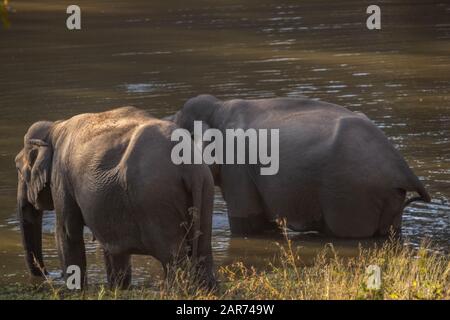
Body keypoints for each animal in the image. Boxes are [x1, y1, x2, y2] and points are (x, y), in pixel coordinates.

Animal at [14, 106, 215, 288]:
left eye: (18, 169)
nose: (47, 275)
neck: (55, 127)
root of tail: (190, 168)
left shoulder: (61, 177)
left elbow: (67, 233)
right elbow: (113, 249)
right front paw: (118, 288)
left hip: (157, 200)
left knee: (173, 257)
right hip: (205, 190)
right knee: (203, 253)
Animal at [171, 94, 428, 238]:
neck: (219, 107)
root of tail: (403, 169)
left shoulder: (237, 168)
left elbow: (248, 225)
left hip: (352, 194)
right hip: (387, 198)